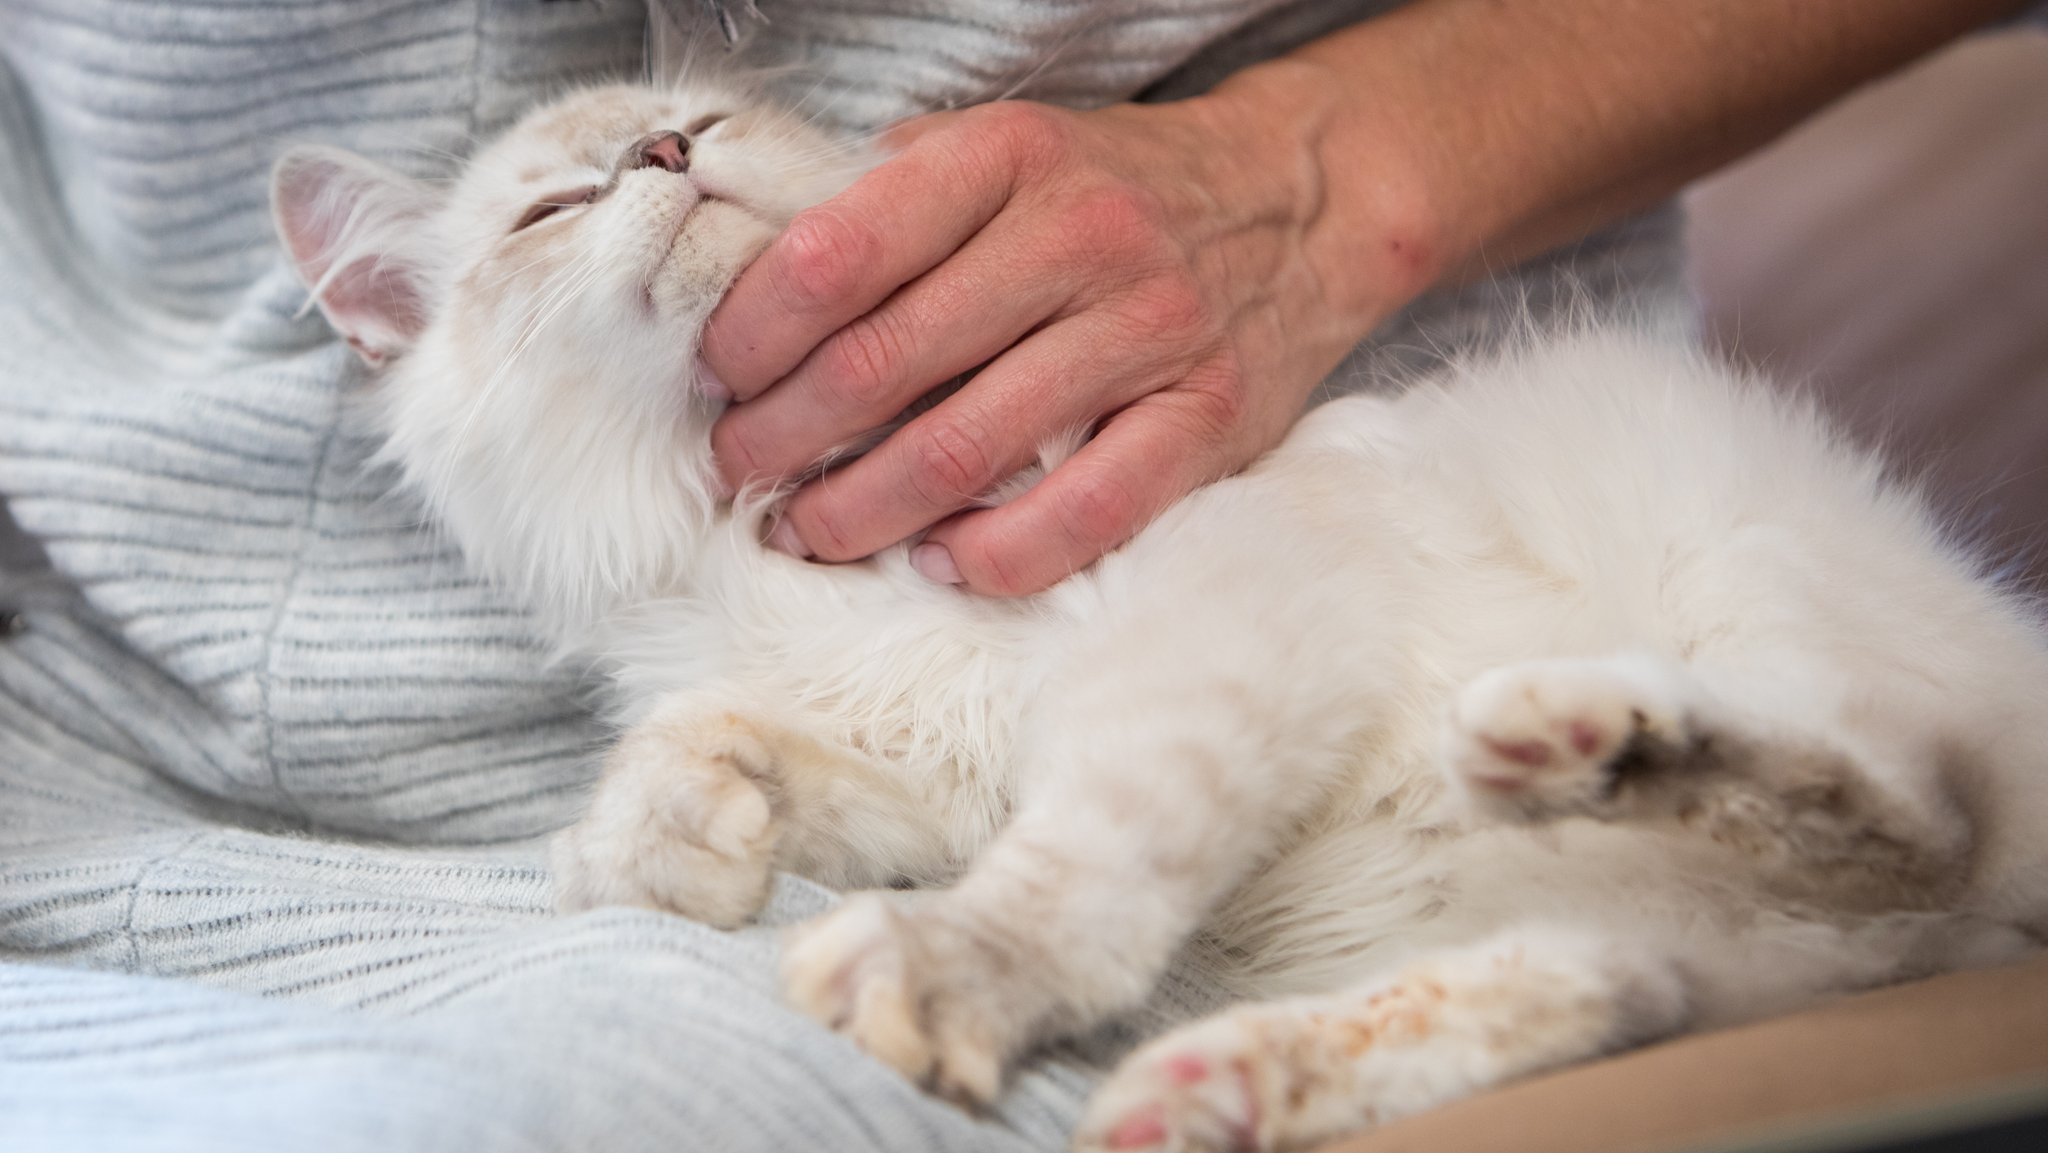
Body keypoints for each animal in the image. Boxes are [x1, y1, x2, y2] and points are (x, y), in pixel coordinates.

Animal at [272, 83, 2048, 1153]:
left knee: (1915, 811)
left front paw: (945, 972)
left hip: (1759, 591)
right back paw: (1226, 1080)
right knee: (1622, 984)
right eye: (551, 209)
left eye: (695, 123)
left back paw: (1587, 737)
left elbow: (1080, 864)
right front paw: (691, 843)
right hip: (1674, 943)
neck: (746, 528)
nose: (662, 160)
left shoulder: (1211, 622)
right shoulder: (944, 755)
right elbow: (703, 763)